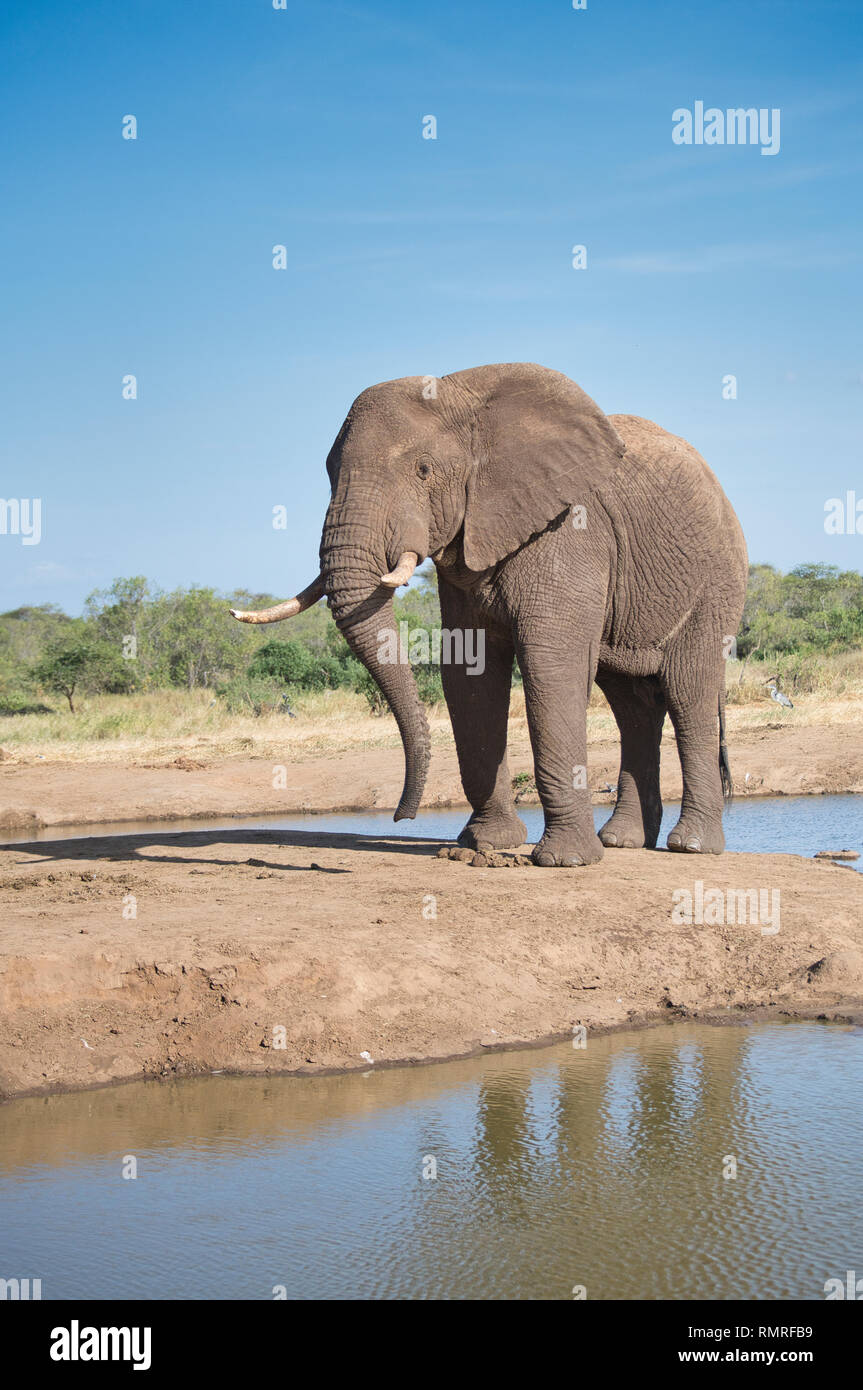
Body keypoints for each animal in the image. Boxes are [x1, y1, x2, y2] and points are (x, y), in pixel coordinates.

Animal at [230, 369, 744, 867]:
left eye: (423, 470)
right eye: (329, 473)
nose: (400, 817)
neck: (465, 398)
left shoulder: (569, 529)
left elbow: (551, 664)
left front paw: (564, 861)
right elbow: (467, 672)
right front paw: (485, 846)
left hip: (715, 582)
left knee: (689, 691)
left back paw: (690, 847)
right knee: (632, 705)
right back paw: (622, 842)